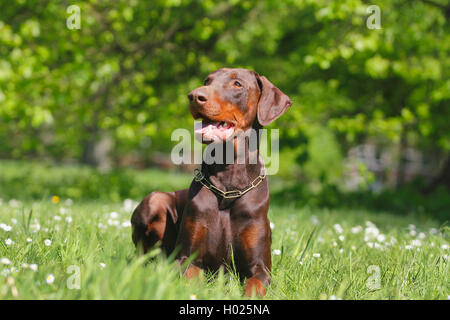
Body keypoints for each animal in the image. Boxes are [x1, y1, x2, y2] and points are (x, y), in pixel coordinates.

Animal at [130, 68, 292, 298]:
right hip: (155, 200)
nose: (194, 96)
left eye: (237, 84)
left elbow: (255, 284)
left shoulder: (261, 267)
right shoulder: (186, 258)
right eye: (207, 81)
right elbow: (192, 278)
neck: (228, 186)